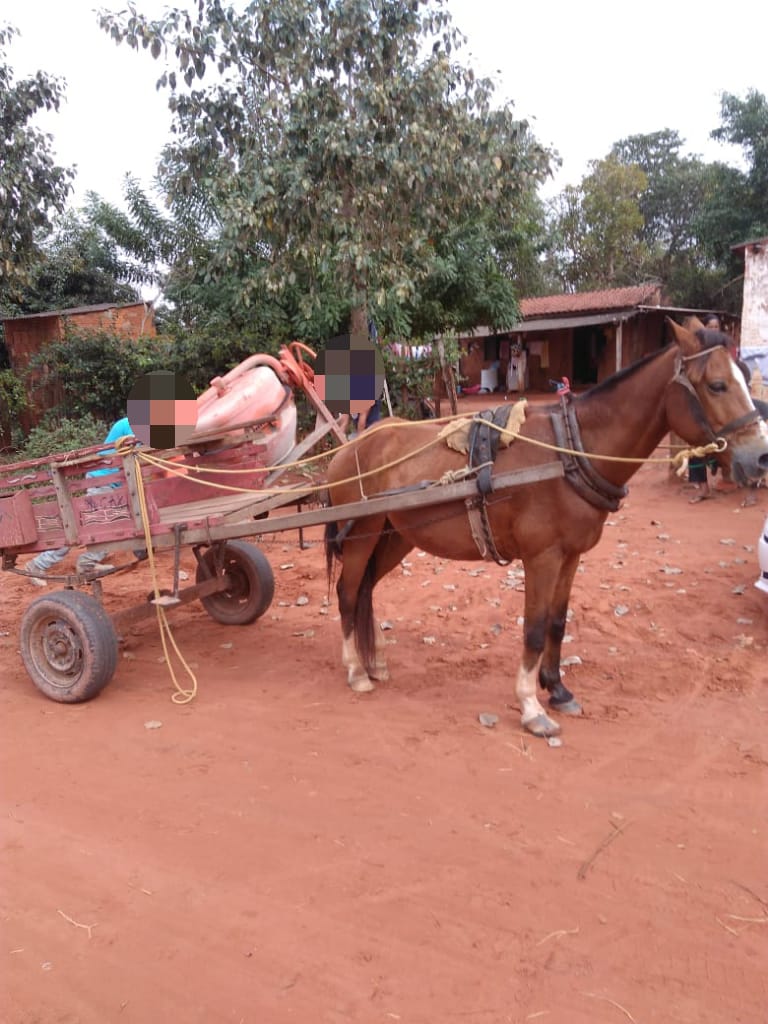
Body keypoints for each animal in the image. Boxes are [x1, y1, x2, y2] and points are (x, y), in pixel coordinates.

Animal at [323, 319, 768, 737]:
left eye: (747, 375)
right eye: (717, 385)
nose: (761, 457)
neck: (572, 450)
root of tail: (350, 446)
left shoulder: (570, 557)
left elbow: (557, 622)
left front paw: (557, 689)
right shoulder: (542, 557)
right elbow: (535, 630)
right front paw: (531, 707)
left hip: (393, 536)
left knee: (366, 589)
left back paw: (376, 661)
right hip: (362, 534)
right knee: (348, 593)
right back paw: (356, 670)